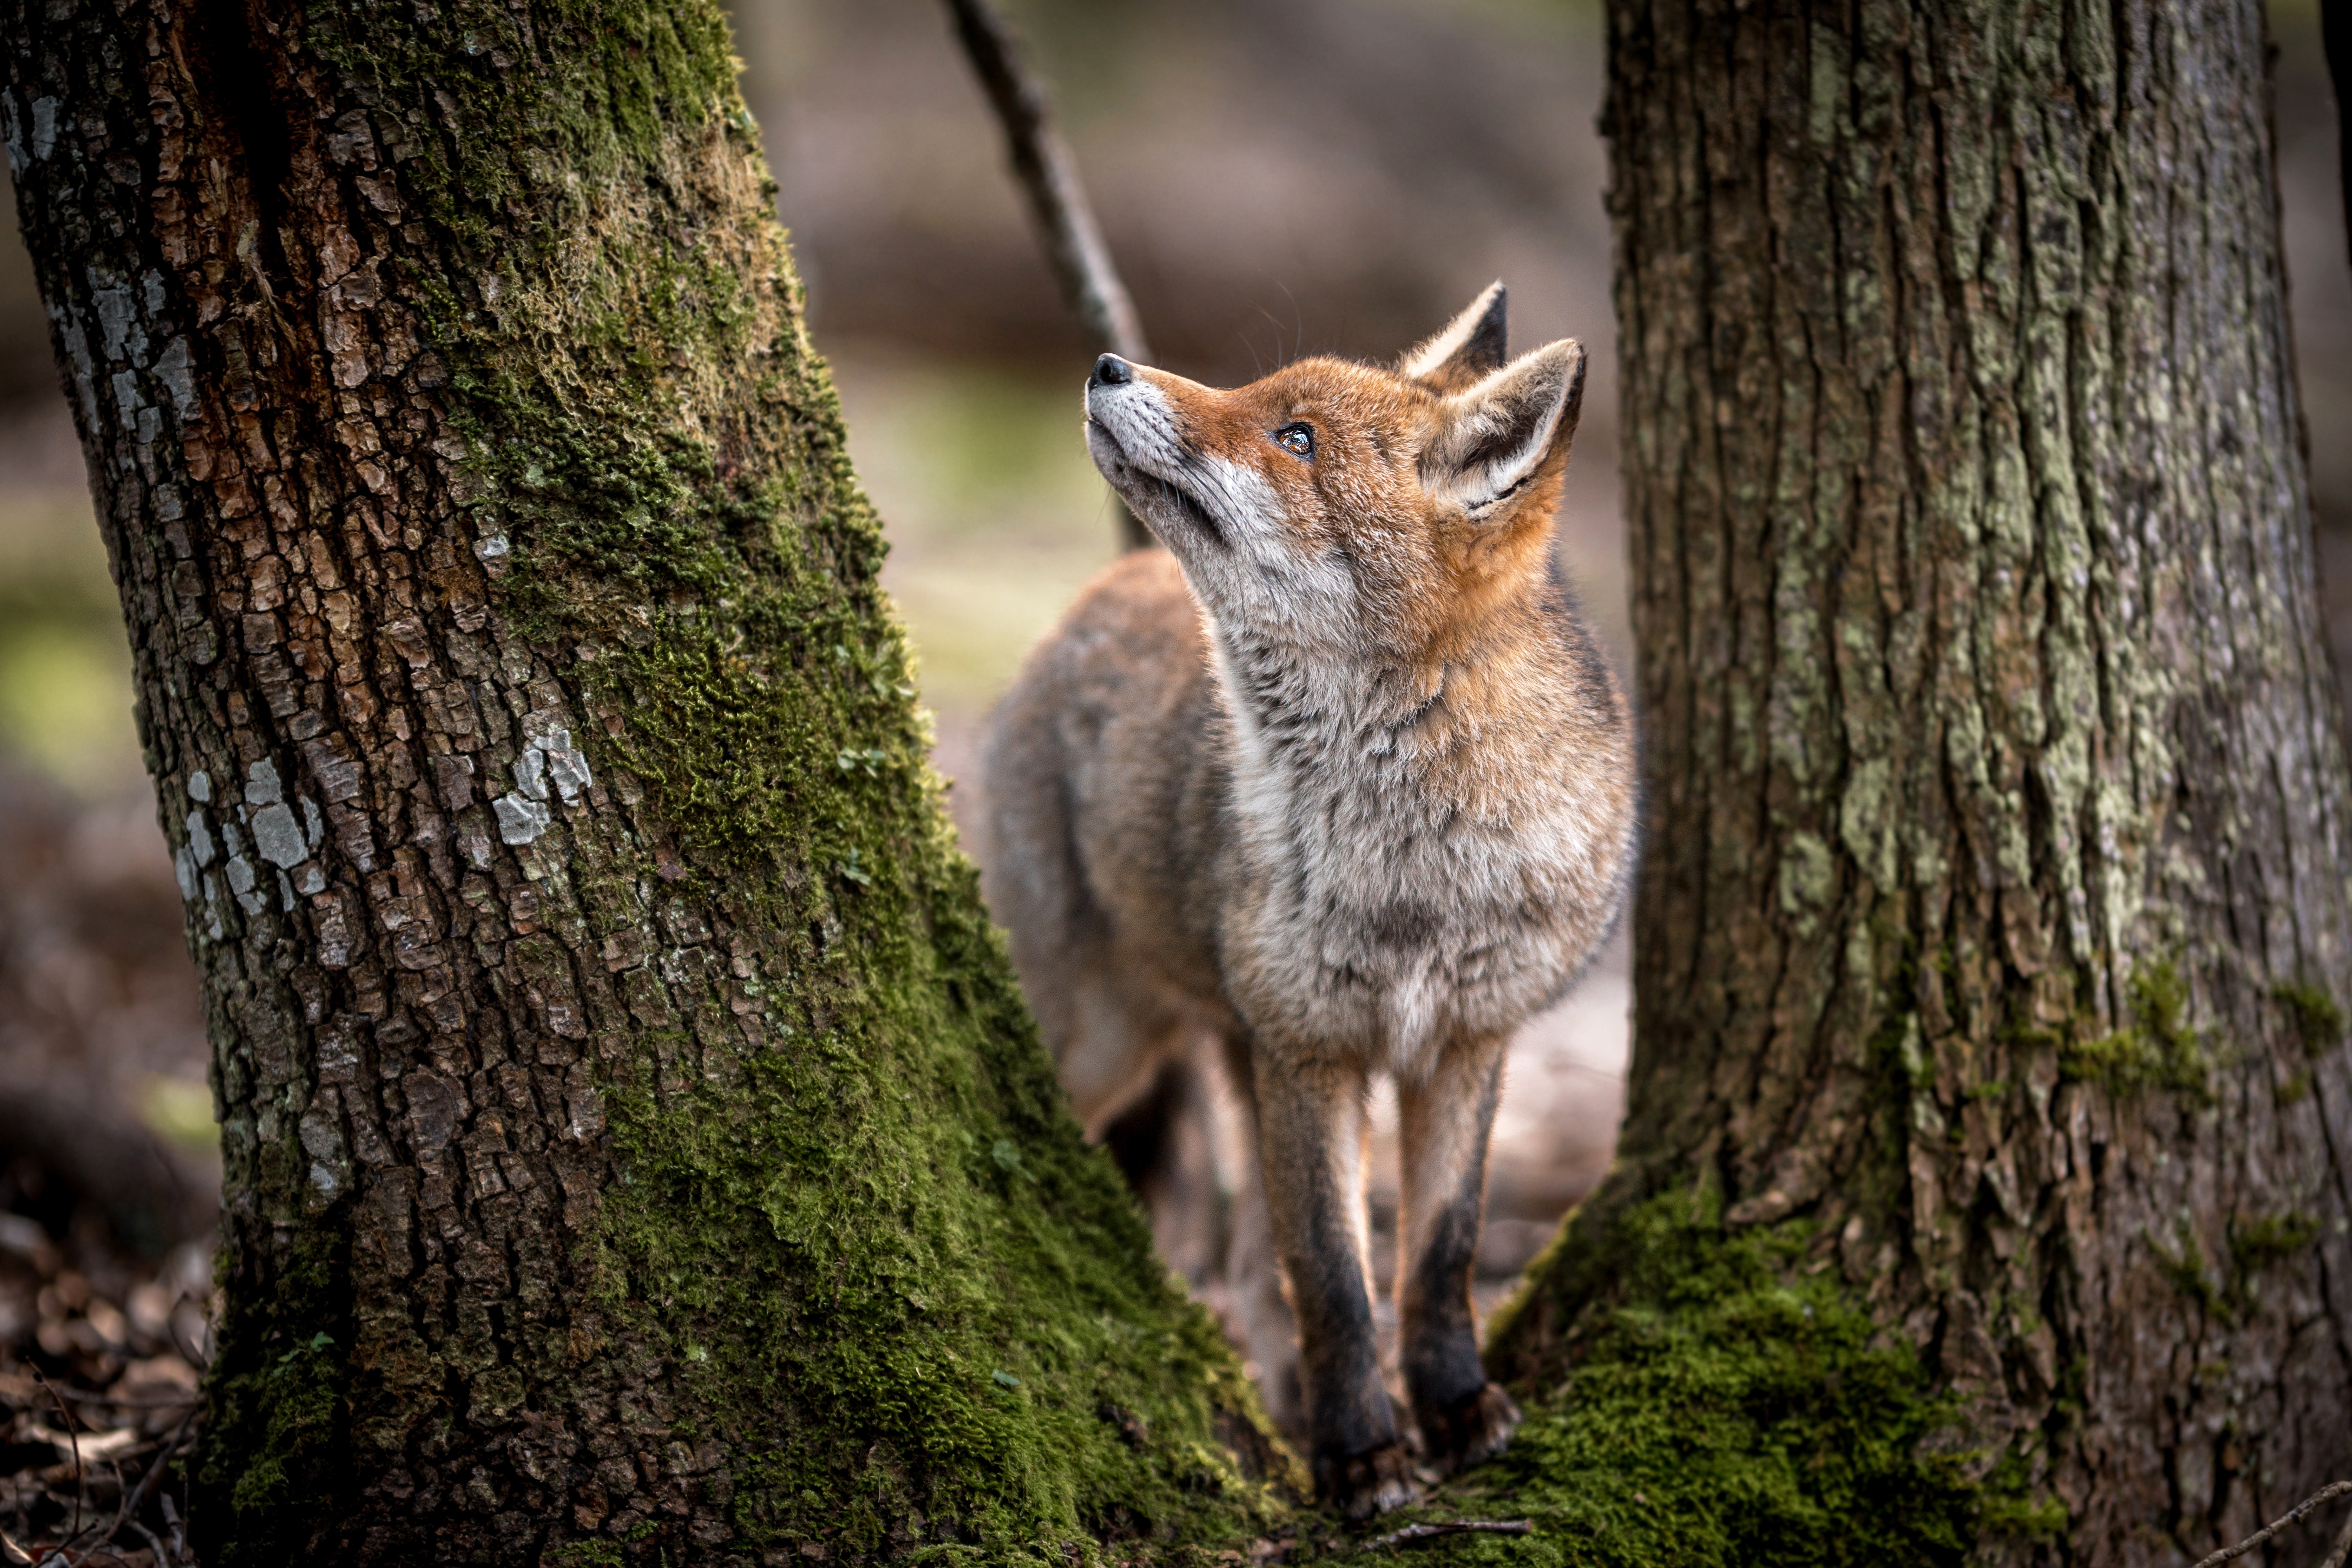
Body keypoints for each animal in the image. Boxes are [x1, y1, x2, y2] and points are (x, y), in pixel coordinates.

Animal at [974, 285, 1637, 1523]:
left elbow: (1437, 1254)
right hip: (1102, 1044)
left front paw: (1453, 1405)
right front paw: (1360, 1452)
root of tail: (1094, 592)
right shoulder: (1308, 1050)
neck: (1412, 869)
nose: (1106, 364)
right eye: (1257, 400)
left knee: (1246, 1270)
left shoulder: (1469, 1041)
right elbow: (1333, 1278)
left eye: (1296, 439)